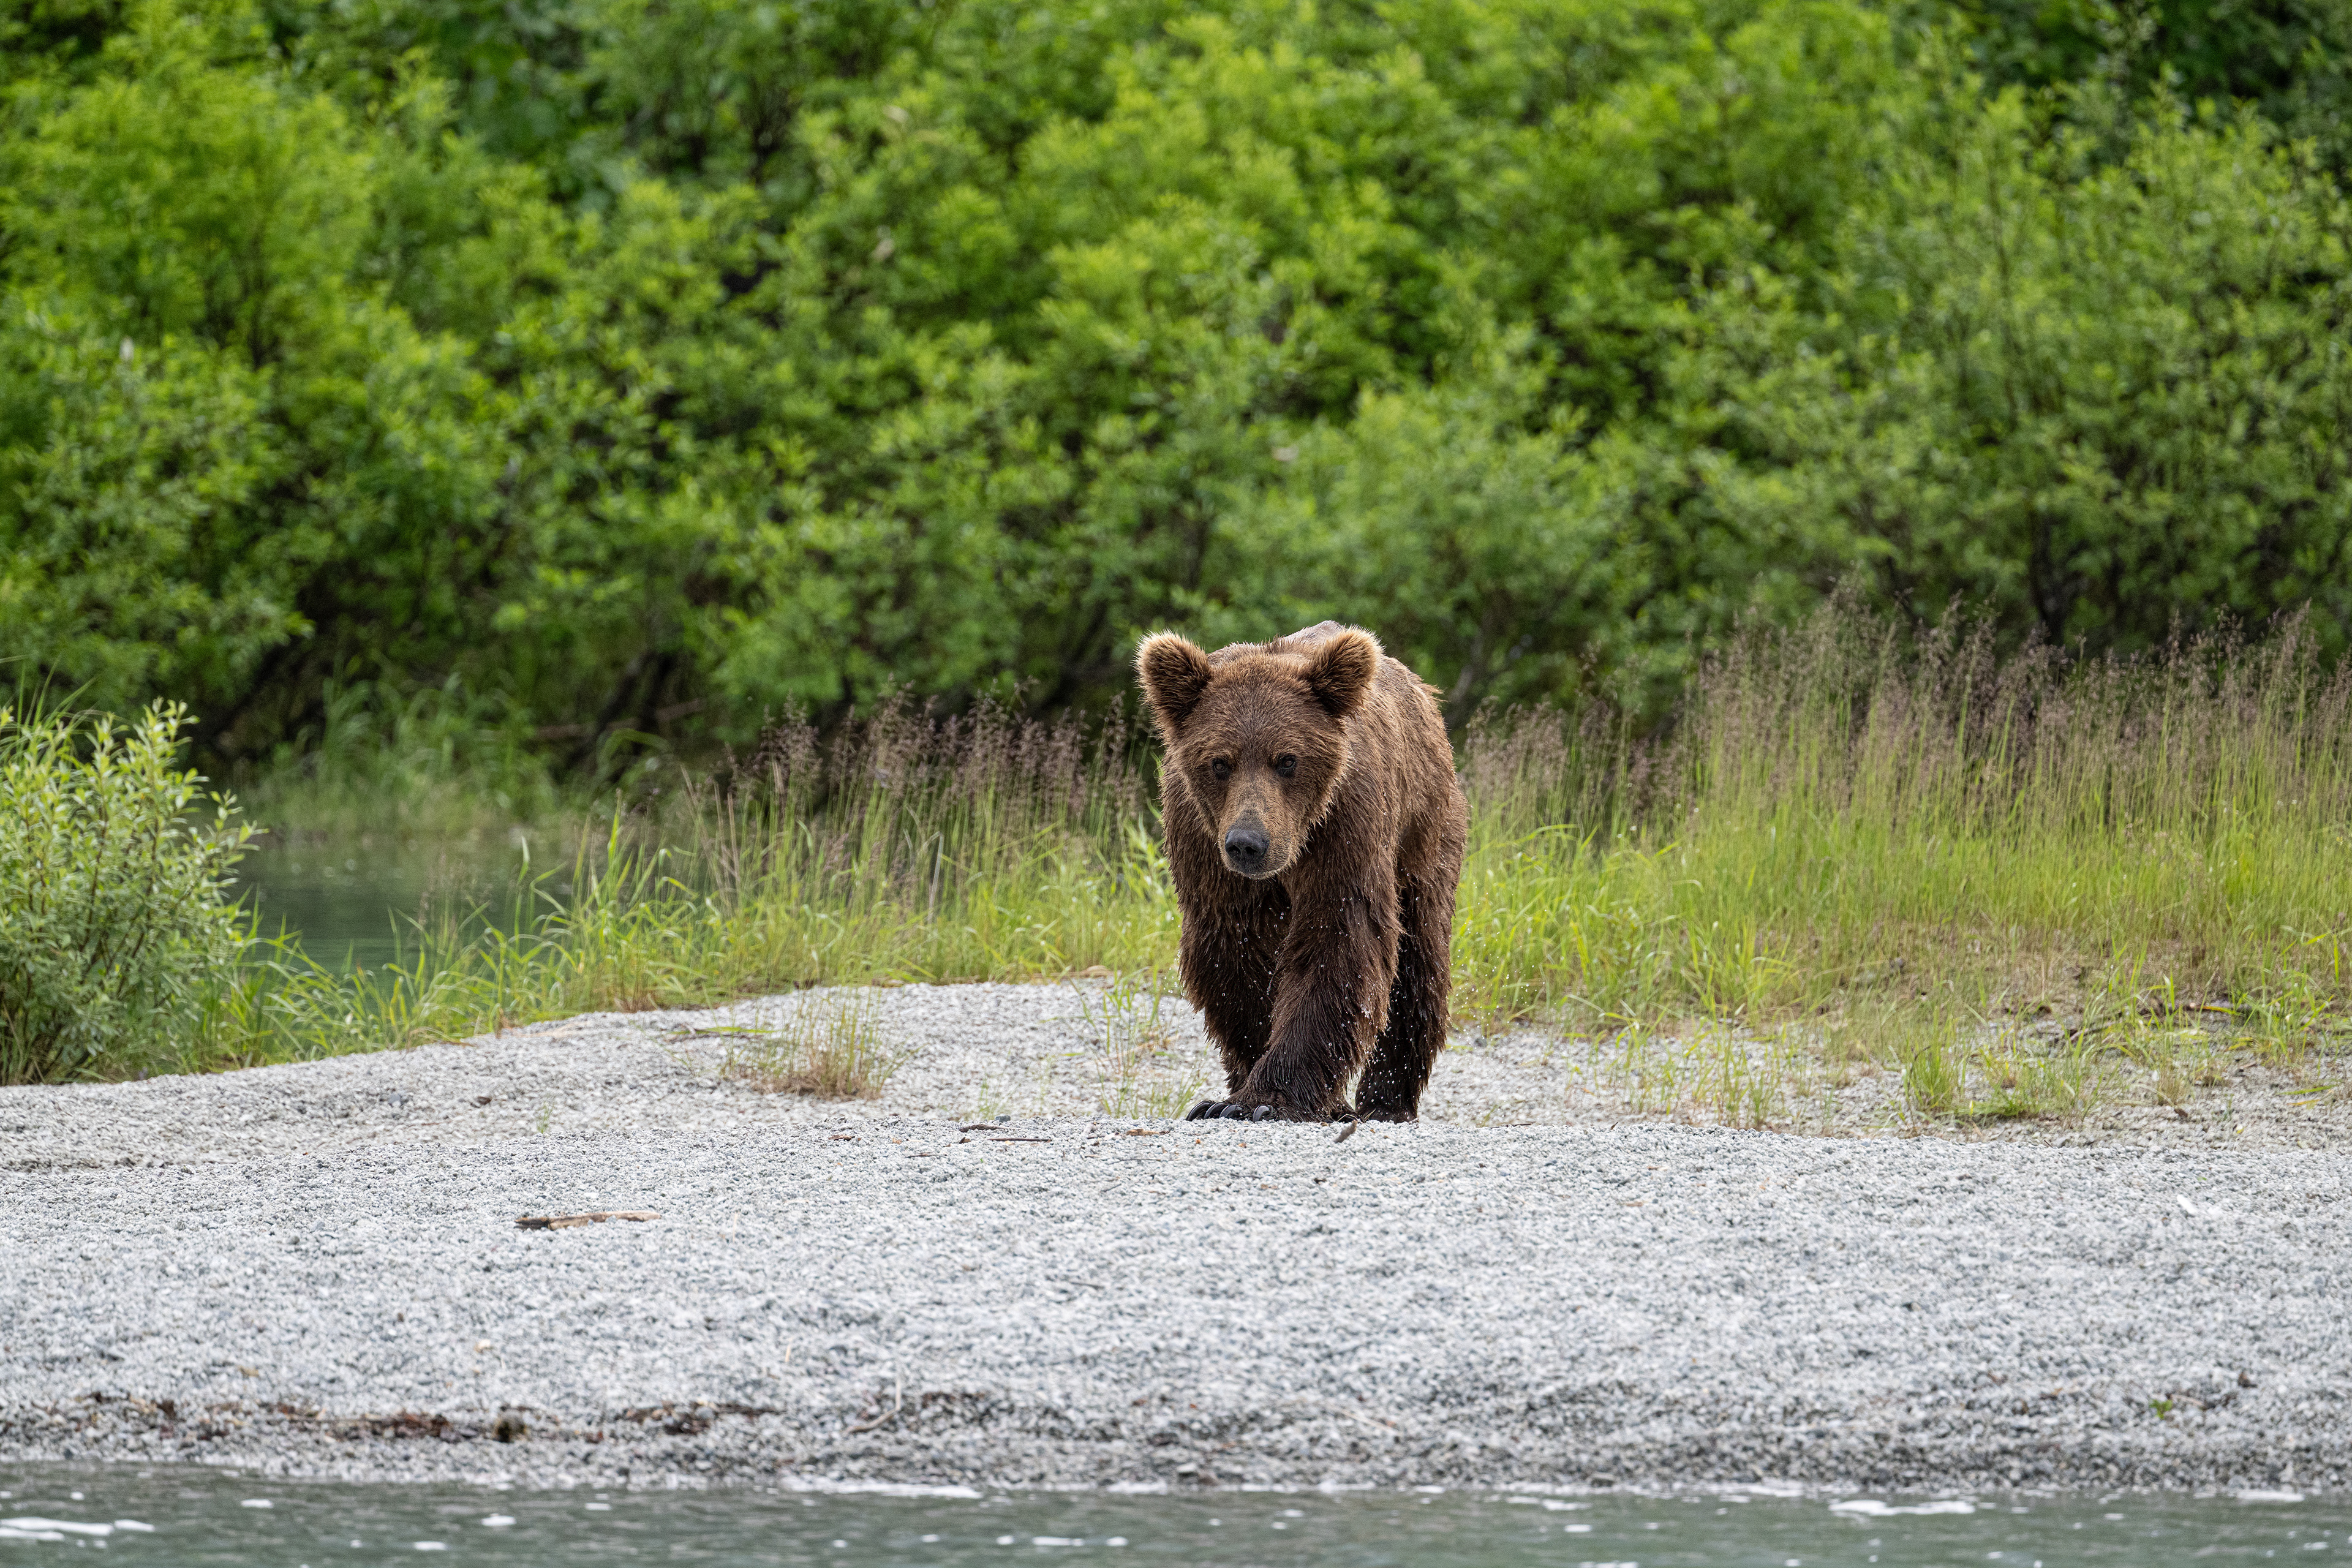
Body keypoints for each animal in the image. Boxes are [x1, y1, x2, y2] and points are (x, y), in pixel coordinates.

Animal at [1134, 621, 1468, 1123]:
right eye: (1219, 762)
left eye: (1287, 759)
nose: (1248, 844)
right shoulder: (1204, 844)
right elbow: (1237, 957)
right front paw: (1229, 1098)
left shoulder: (1344, 827)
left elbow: (1338, 939)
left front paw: (1267, 1099)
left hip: (1424, 834)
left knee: (1419, 958)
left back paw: (1385, 1101)